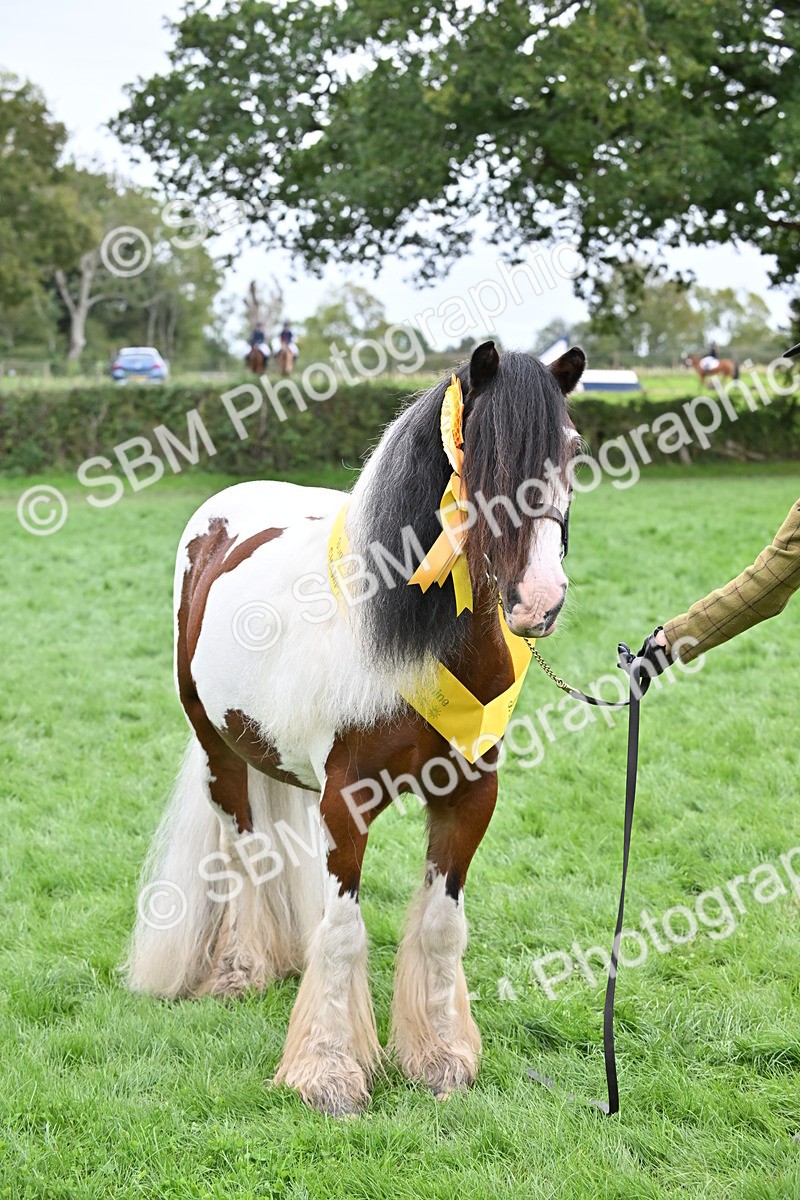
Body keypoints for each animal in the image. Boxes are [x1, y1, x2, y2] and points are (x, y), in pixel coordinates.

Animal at [126, 341, 585, 1116]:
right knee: (247, 853)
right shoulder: (346, 801)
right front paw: (328, 1073)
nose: (539, 600)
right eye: (479, 455)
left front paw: (440, 1058)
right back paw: (243, 969)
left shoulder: (470, 795)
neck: (414, 641)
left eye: (574, 450)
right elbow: (343, 932)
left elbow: (442, 924)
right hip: (220, 751)